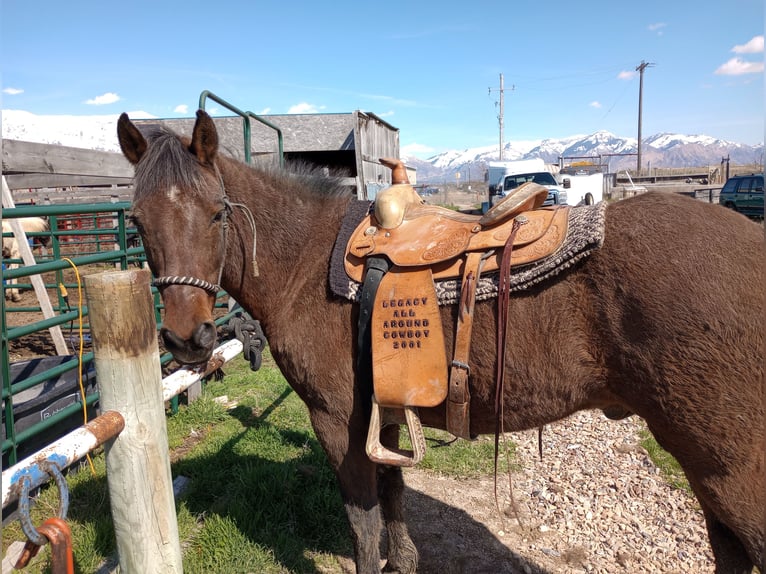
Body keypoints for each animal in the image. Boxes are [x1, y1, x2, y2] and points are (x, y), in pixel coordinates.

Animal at [117, 110, 764, 572]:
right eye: (138, 220)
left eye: (216, 214)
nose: (187, 337)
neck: (307, 263)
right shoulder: (383, 409)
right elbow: (394, 494)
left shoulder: (336, 420)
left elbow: (364, 521)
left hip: (730, 471)